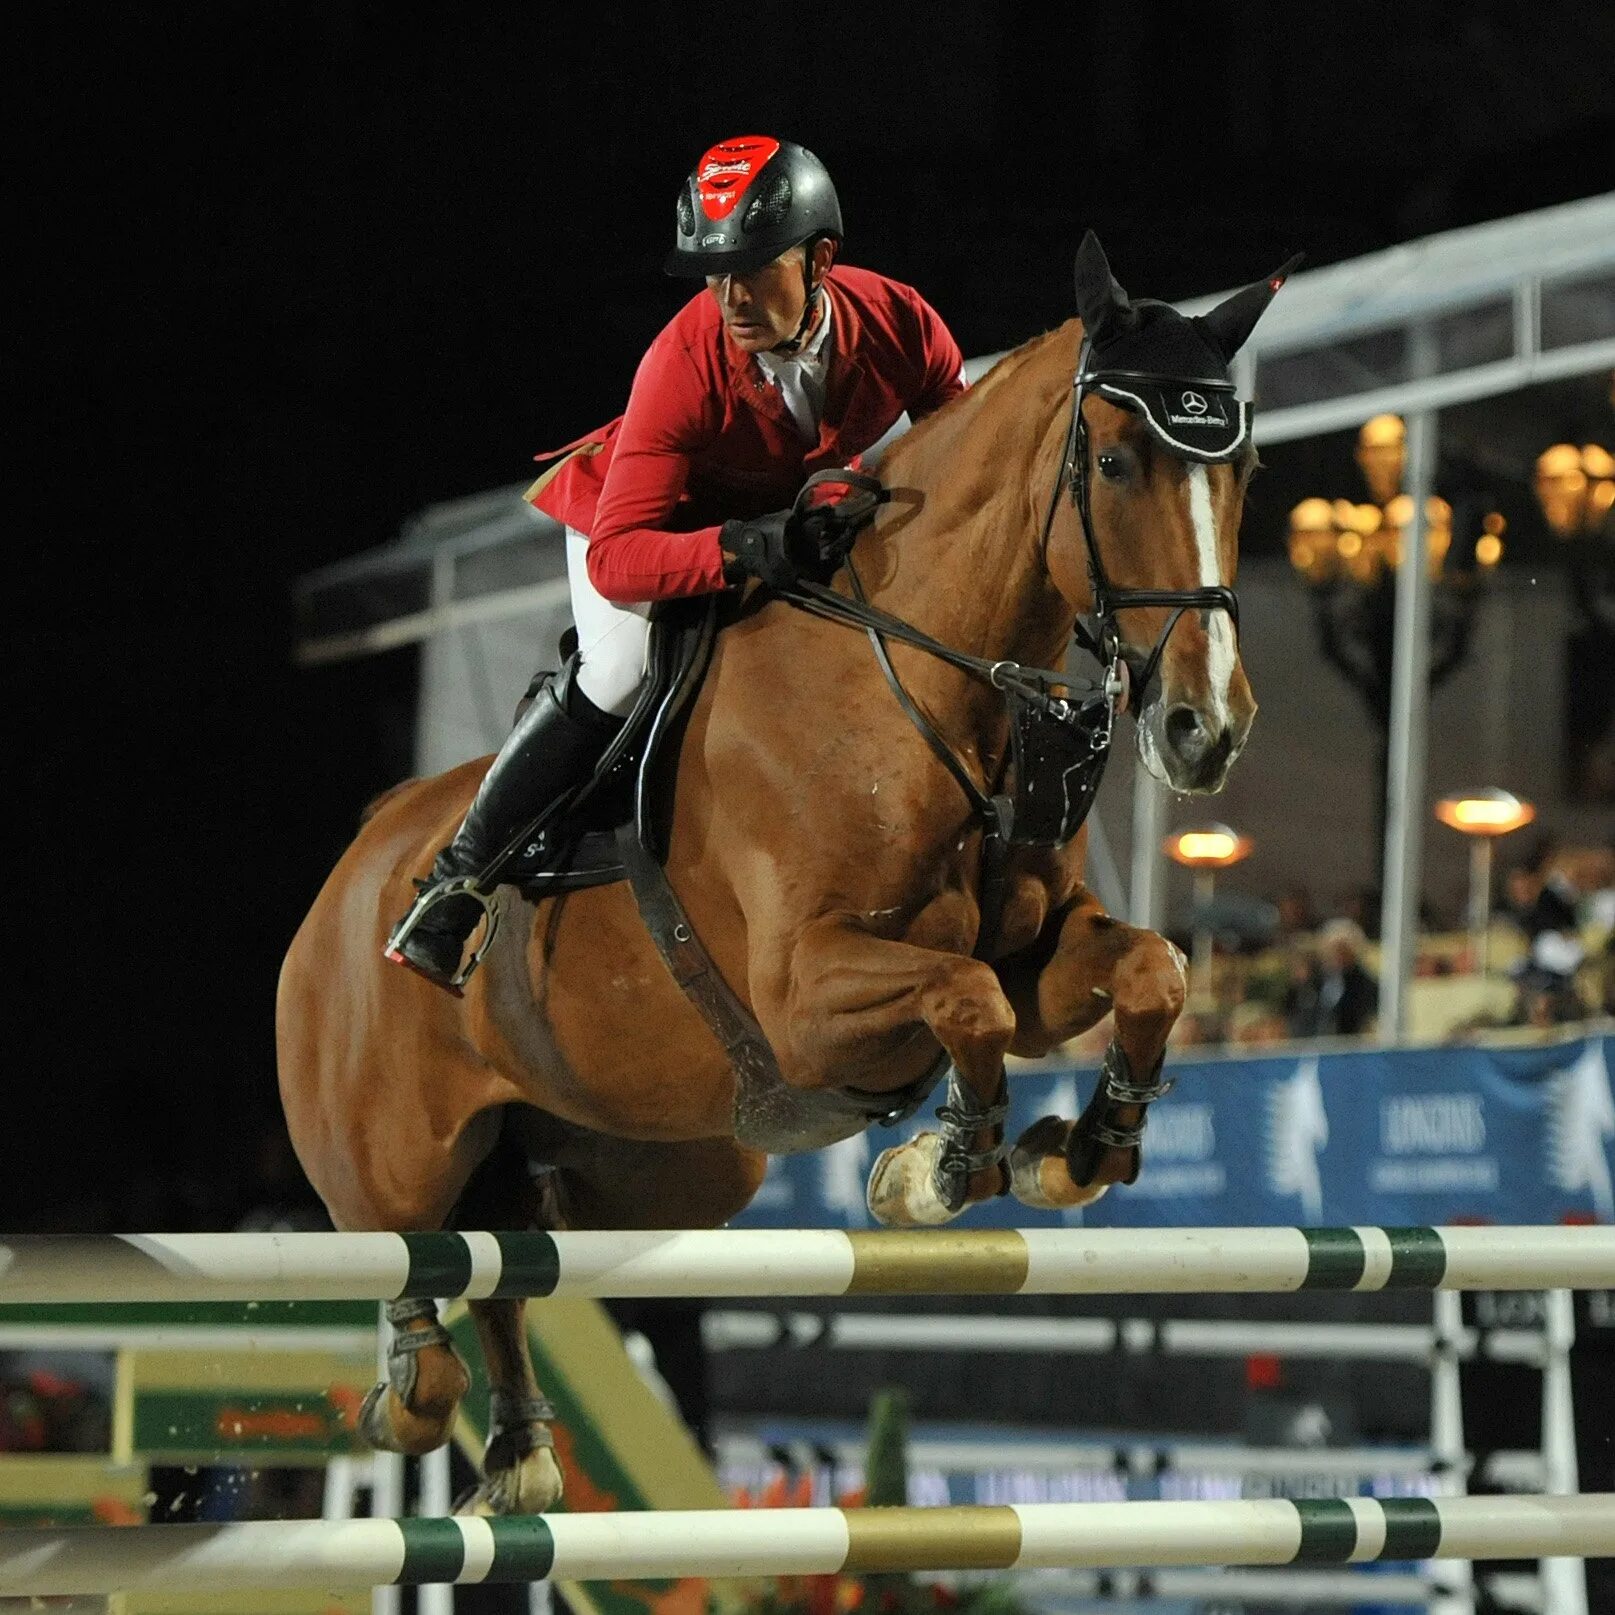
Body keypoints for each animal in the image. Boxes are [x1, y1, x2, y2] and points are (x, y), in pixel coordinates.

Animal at [274, 235, 1285, 1511]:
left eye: (1241, 467)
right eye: (1110, 461)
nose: (1208, 732)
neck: (915, 683)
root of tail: (351, 872)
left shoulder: (1038, 951)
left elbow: (1143, 972)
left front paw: (1085, 1147)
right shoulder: (807, 997)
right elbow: (970, 1000)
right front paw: (941, 1165)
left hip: (668, 1169)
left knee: (508, 1257)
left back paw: (516, 1452)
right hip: (389, 1157)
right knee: (417, 1255)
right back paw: (415, 1382)